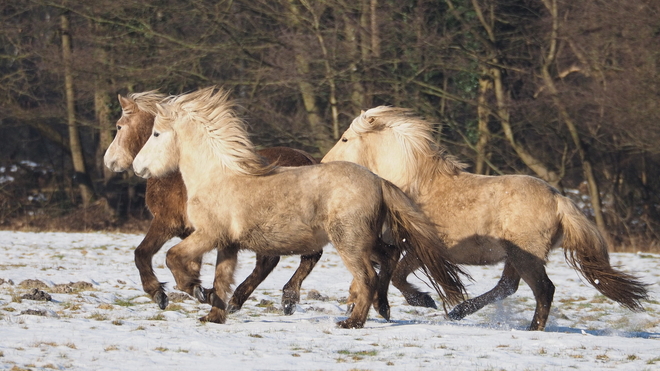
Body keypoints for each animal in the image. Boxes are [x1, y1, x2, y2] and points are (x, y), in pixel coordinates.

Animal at [102, 90, 324, 314]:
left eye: (119, 126)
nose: (109, 161)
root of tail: (311, 160)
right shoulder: (194, 233)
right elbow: (188, 266)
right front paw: (200, 290)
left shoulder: (166, 222)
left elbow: (142, 254)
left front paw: (159, 293)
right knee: (302, 256)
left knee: (283, 258)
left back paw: (273, 298)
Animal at [131, 86, 466, 328]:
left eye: (156, 134)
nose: (137, 167)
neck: (218, 175)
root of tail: (378, 180)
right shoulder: (227, 243)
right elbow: (222, 277)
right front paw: (214, 313)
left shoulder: (207, 234)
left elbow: (174, 258)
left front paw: (197, 292)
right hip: (366, 240)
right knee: (390, 258)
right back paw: (383, 308)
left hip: (349, 241)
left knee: (367, 276)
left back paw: (352, 322)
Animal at [322, 105, 648, 332]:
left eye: (345, 138)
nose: (324, 162)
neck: (413, 185)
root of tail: (559, 199)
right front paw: (356, 302)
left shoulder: (418, 248)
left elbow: (398, 276)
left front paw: (421, 300)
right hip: (515, 256)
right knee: (508, 287)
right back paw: (460, 312)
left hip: (526, 256)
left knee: (543, 289)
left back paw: (531, 328)